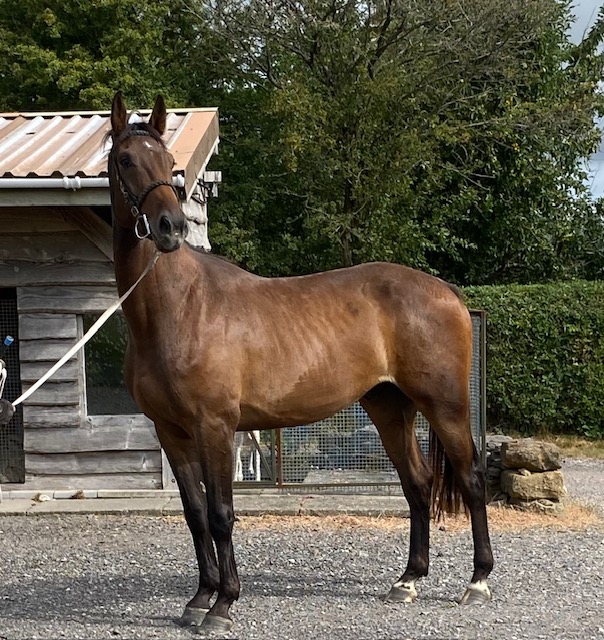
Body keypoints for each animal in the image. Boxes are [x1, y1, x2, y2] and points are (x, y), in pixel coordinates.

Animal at [108, 92, 493, 635]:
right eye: (125, 159)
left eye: (170, 164)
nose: (170, 228)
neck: (178, 307)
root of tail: (449, 294)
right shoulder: (171, 432)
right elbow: (195, 513)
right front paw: (199, 598)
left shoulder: (215, 426)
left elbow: (222, 513)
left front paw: (223, 604)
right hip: (388, 406)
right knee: (418, 484)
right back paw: (407, 580)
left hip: (445, 406)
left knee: (471, 479)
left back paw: (477, 582)